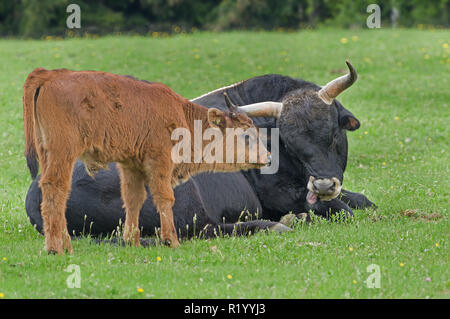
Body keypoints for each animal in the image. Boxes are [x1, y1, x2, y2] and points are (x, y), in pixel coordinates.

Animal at [24, 69, 268, 256]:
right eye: (246, 134)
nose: (268, 158)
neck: (182, 115)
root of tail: (49, 75)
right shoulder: (160, 162)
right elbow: (165, 198)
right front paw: (171, 241)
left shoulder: (131, 165)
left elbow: (134, 199)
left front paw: (132, 241)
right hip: (62, 154)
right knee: (55, 189)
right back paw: (57, 248)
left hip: (47, 154)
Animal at [24, 71, 376, 239]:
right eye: (289, 142)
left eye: (333, 133)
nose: (323, 185)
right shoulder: (281, 194)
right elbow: (342, 209)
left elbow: (361, 201)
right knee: (203, 229)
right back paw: (279, 224)